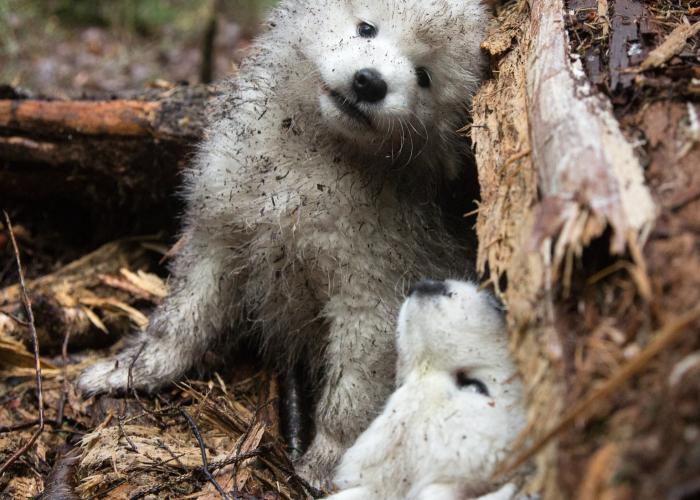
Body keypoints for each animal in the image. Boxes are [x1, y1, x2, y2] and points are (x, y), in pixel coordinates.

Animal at [79, 0, 490, 484]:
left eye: (424, 76)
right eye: (367, 28)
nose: (370, 82)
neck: (315, 160)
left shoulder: (373, 292)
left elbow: (353, 392)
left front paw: (327, 462)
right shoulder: (219, 233)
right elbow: (181, 318)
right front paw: (134, 370)